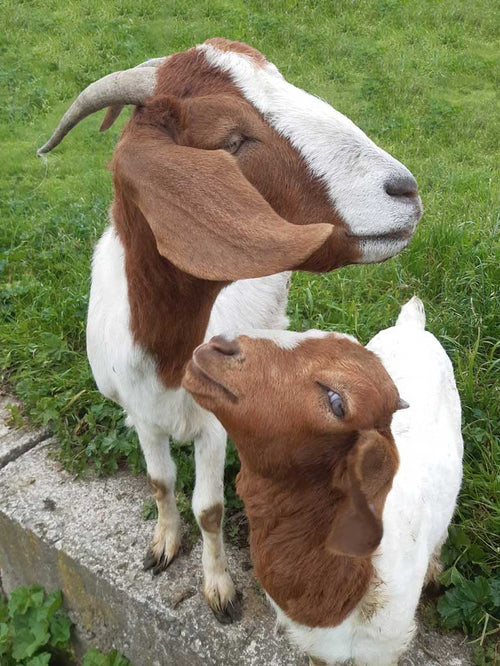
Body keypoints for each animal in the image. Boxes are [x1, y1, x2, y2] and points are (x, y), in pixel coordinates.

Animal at [38, 39, 422, 620]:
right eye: (231, 140)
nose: (405, 190)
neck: (168, 359)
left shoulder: (215, 425)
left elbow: (210, 508)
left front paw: (219, 587)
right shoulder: (141, 415)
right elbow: (159, 481)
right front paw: (162, 544)